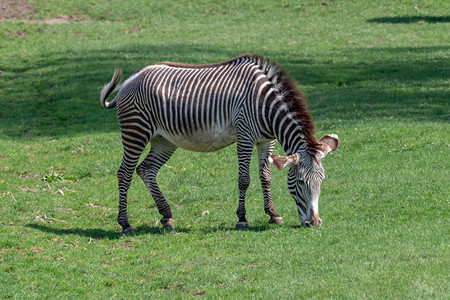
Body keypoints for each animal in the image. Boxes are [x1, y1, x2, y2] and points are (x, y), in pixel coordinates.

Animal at [98, 54, 338, 233]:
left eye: (322, 181)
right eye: (300, 182)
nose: (314, 223)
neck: (266, 104)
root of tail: (130, 78)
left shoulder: (266, 140)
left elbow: (266, 177)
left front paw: (273, 214)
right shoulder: (245, 135)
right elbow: (244, 179)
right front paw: (242, 219)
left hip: (163, 140)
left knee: (146, 169)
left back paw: (167, 216)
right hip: (136, 131)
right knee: (125, 173)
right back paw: (125, 223)